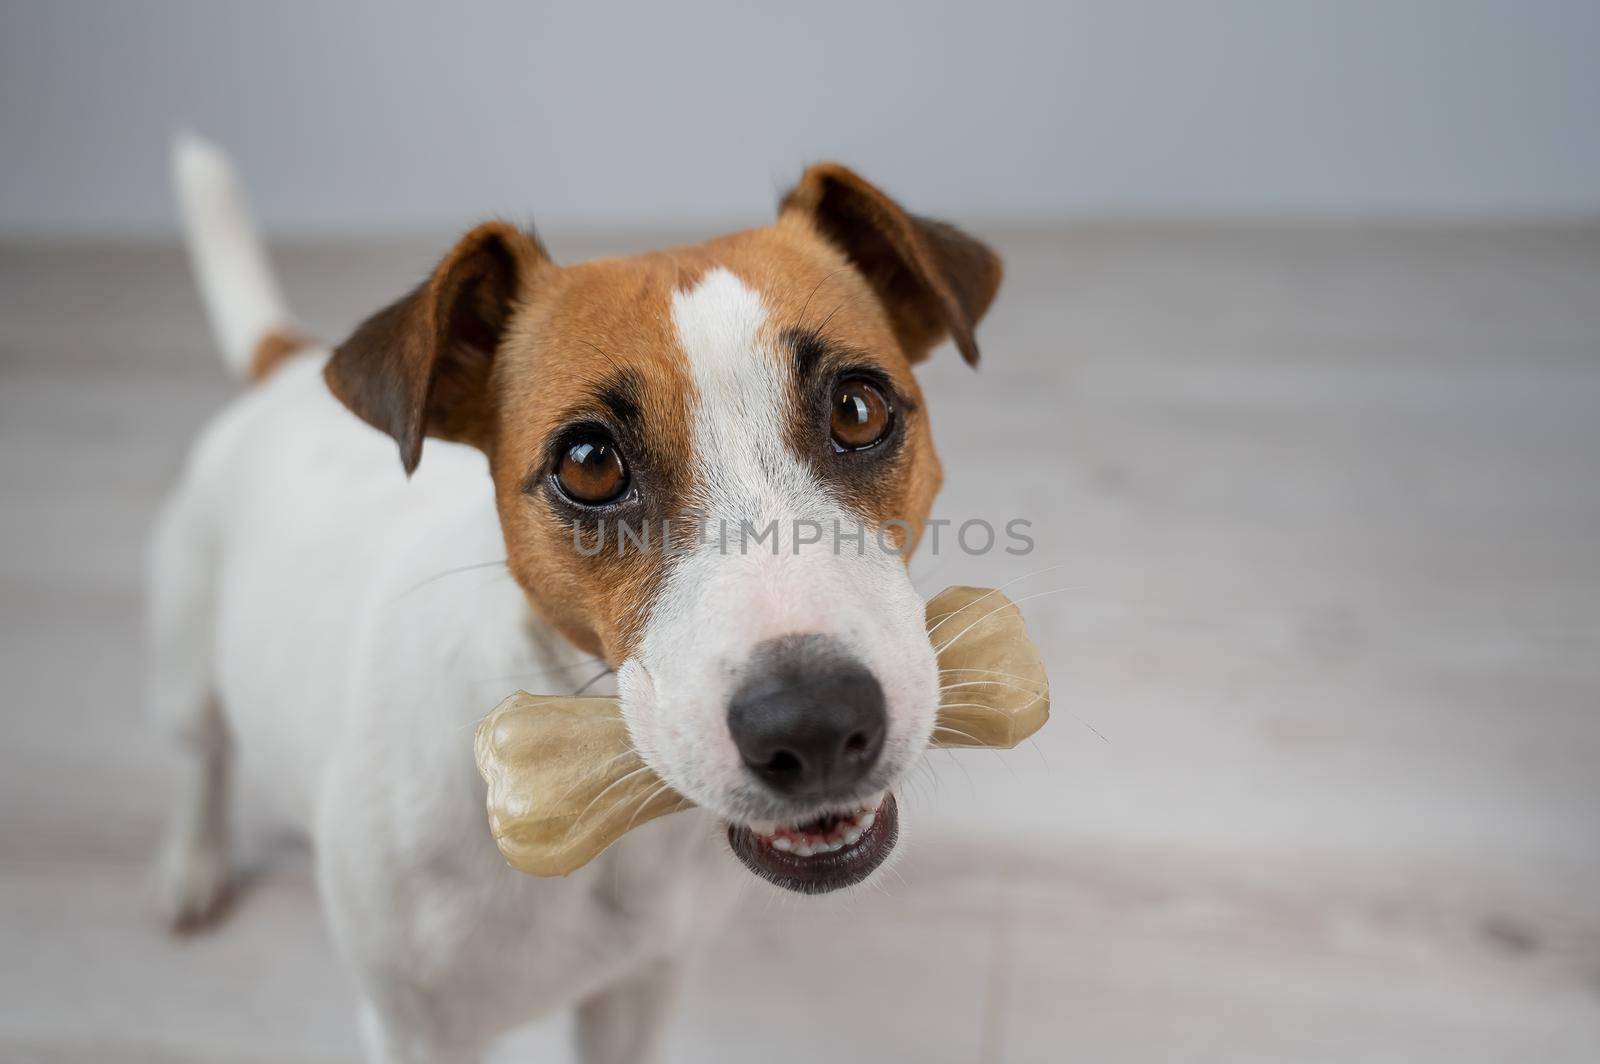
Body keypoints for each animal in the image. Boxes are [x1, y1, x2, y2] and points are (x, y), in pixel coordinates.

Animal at [152, 135, 998, 1062]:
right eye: (589, 464)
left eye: (857, 408)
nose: (812, 726)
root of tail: (288, 363)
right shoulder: (414, 1030)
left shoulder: (638, 989)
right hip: (187, 666)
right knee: (200, 759)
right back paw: (192, 868)